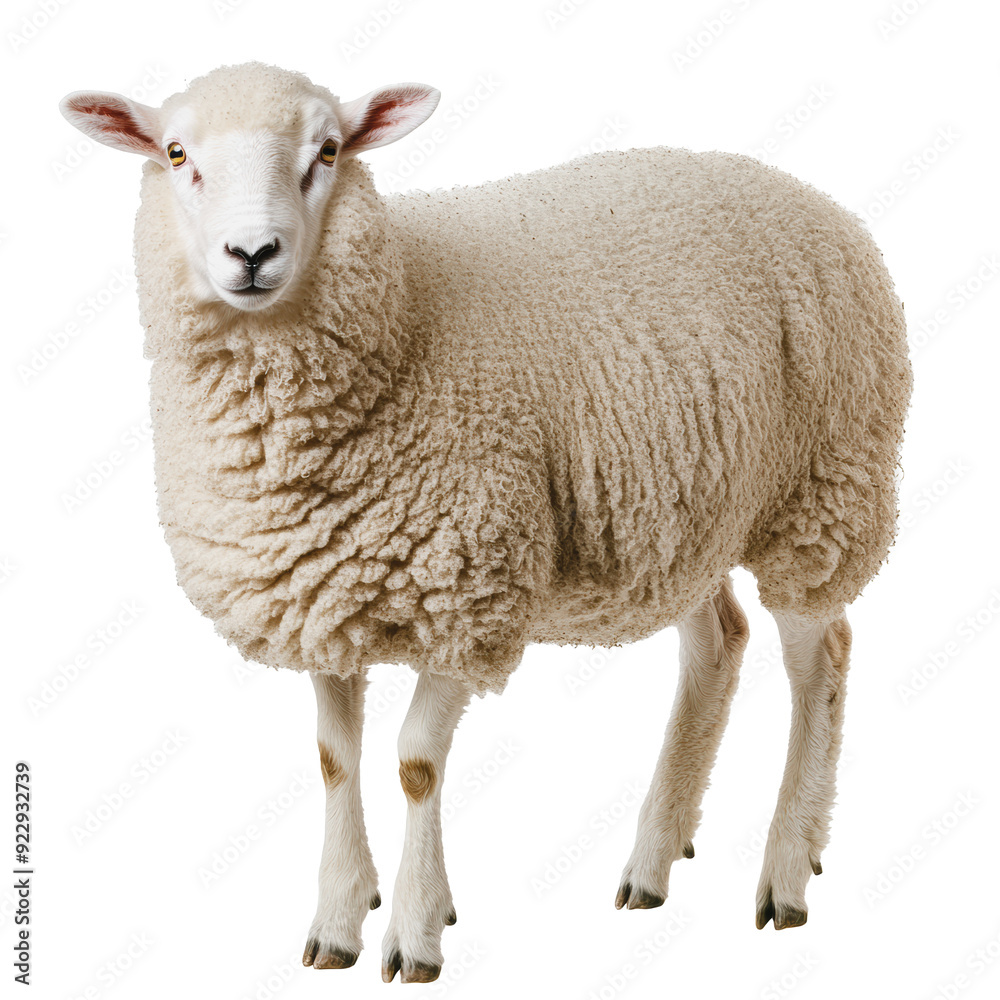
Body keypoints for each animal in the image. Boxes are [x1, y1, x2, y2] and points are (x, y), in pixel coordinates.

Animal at [60, 61, 911, 983]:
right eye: (177, 153)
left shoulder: (469, 591)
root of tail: (817, 200)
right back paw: (653, 860)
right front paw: (337, 919)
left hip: (823, 491)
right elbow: (334, 760)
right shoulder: (322, 593)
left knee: (821, 659)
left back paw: (786, 870)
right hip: (681, 514)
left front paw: (415, 930)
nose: (252, 254)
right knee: (719, 644)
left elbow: (415, 764)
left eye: (328, 151)